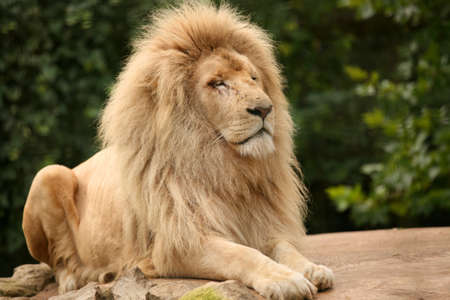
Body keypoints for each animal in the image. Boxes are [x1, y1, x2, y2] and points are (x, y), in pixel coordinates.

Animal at [22, 1, 334, 298]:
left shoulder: (261, 225)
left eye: (254, 78)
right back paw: (79, 278)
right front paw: (285, 280)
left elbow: (286, 248)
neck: (228, 170)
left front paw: (312, 268)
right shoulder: (179, 245)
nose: (265, 109)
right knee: (57, 262)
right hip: (48, 174)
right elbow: (243, 255)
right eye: (217, 83)